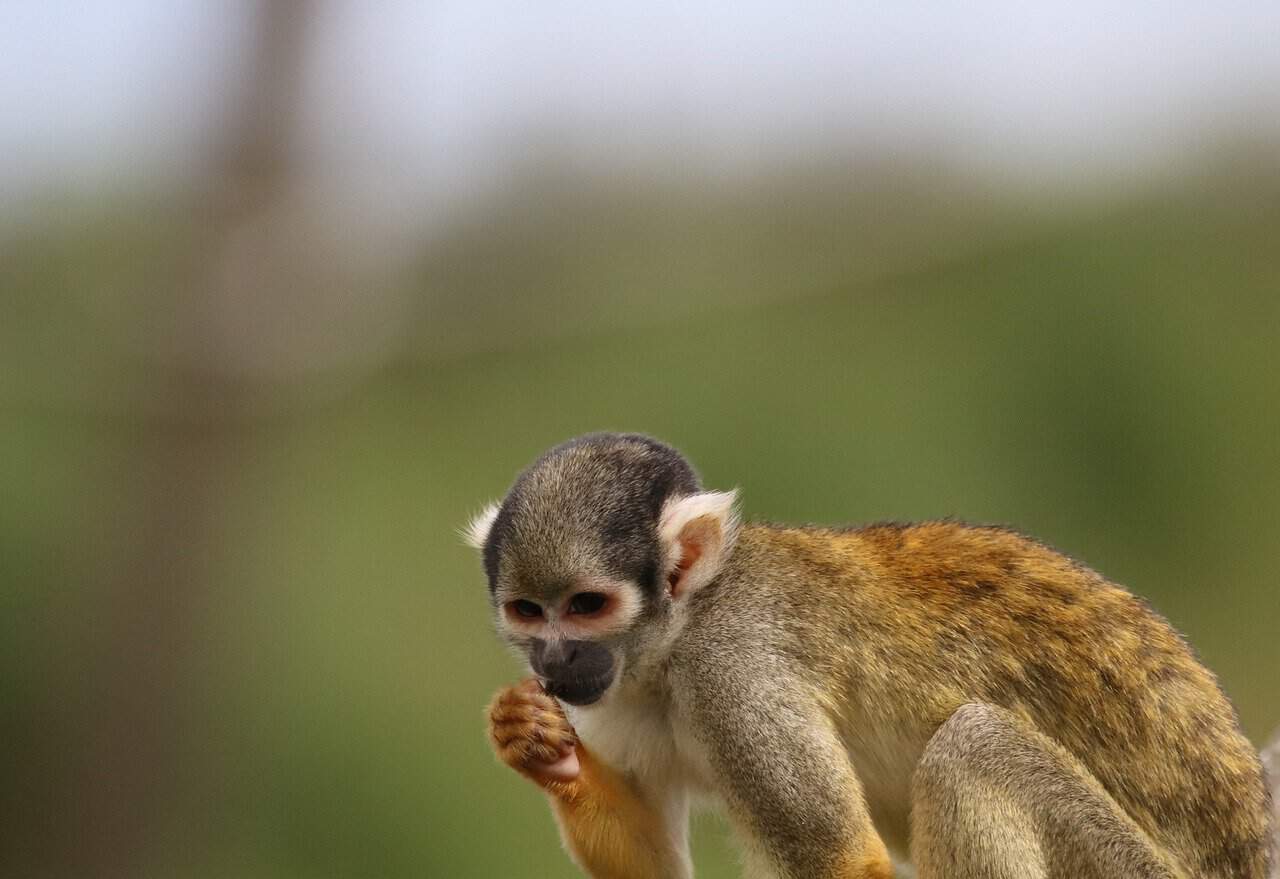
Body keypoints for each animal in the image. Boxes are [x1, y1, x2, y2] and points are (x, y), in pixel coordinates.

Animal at [468, 435, 1269, 879]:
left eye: (587, 605)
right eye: (529, 611)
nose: (555, 660)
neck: (673, 643)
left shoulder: (732, 670)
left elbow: (841, 858)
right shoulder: (621, 693)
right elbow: (655, 866)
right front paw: (533, 743)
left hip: (1128, 869)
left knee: (973, 744)